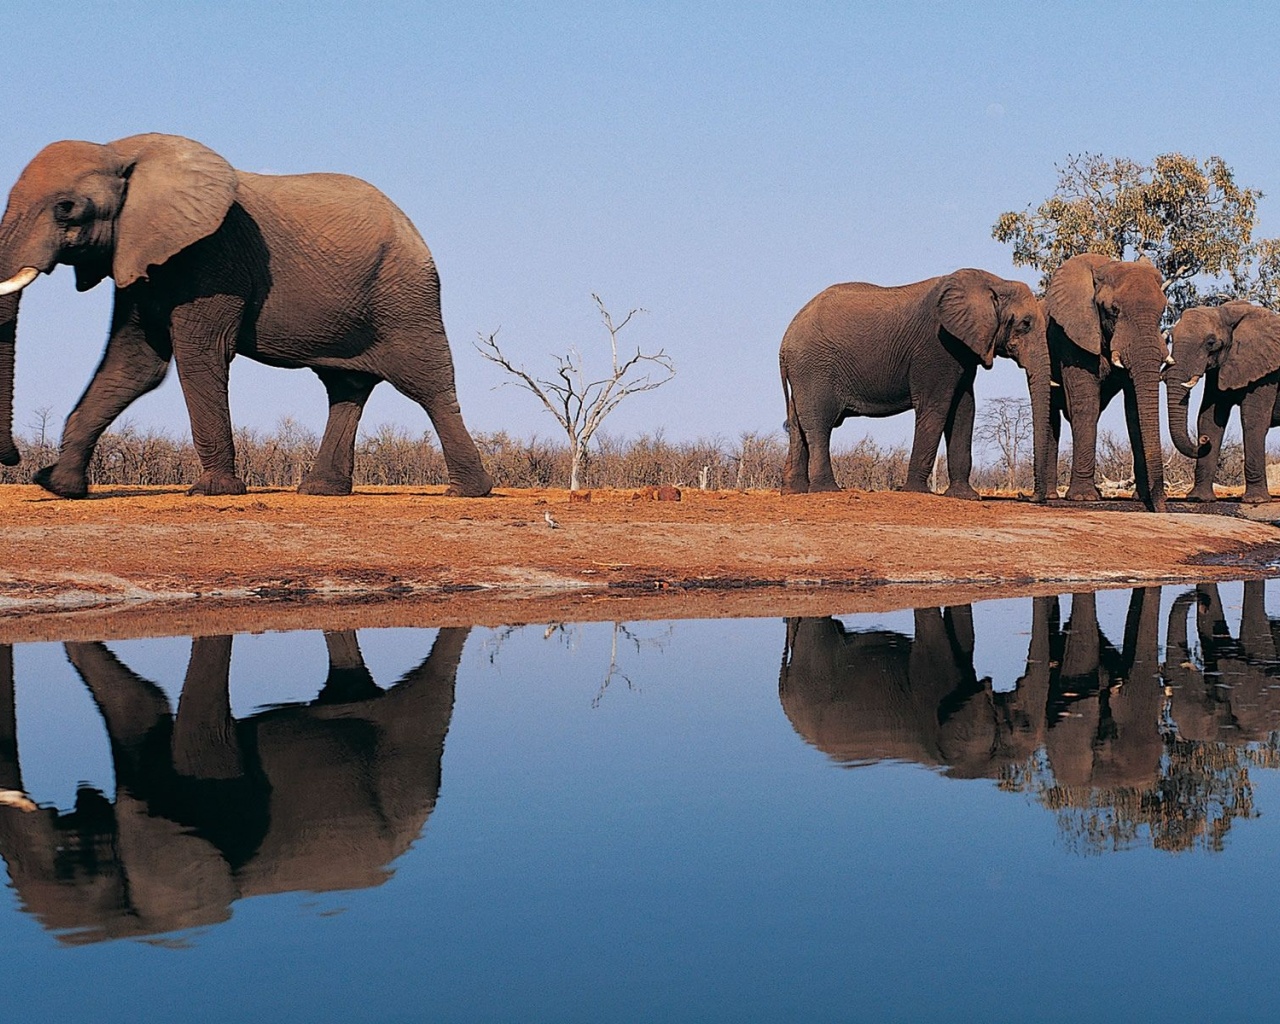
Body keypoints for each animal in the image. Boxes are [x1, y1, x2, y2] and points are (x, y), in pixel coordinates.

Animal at [0, 131, 491, 499]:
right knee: (345, 387)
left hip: (407, 295)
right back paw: (319, 490)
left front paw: (213, 491)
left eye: (67, 209)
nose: (14, 457)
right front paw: (58, 486)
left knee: (427, 383)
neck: (120, 151)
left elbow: (199, 356)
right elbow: (133, 363)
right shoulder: (141, 256)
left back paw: (469, 491)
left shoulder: (213, 255)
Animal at [773, 267, 1054, 499]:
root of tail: (785, 342)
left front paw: (965, 496)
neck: (994, 282)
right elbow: (936, 407)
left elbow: (964, 409)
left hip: (804, 372)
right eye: (1025, 324)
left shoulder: (964, 349)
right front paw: (916, 491)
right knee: (820, 424)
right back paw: (827, 490)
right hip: (814, 368)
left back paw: (794, 492)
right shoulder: (936, 347)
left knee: (798, 426)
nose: (1026, 496)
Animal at [1039, 253, 1172, 509]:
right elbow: (1086, 405)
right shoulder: (1073, 336)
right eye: (1113, 310)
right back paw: (1051, 496)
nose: (1162, 507)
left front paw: (1141, 498)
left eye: (1163, 311)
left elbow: (1134, 411)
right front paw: (1083, 498)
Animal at [1167, 299, 1280, 504]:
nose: (1203, 440)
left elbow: (1253, 421)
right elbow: (1209, 419)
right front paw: (1199, 499)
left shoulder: (1267, 372)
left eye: (1211, 343)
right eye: (1171, 337)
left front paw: (1256, 501)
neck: (1225, 312)